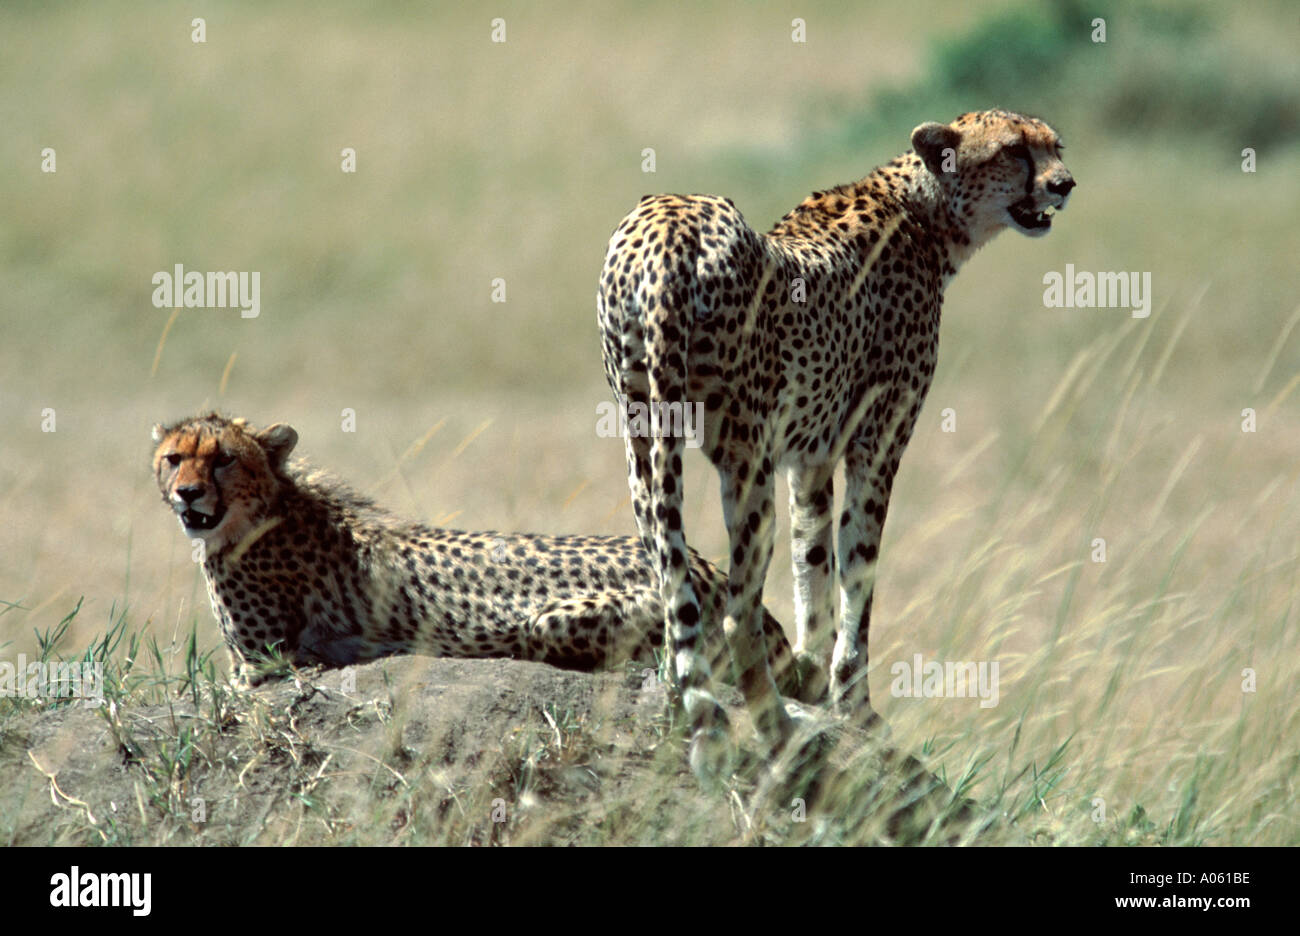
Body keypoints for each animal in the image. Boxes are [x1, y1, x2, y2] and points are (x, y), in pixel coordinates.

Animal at [156, 413, 795, 691]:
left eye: (223, 458)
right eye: (174, 458)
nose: (187, 493)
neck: (267, 508)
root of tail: (714, 571)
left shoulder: (264, 663)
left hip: (553, 623)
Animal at [598, 109, 1076, 769]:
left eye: (1055, 145)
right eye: (1012, 150)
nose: (1065, 184)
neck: (927, 214)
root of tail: (671, 222)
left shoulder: (811, 458)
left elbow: (813, 559)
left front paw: (810, 673)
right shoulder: (876, 446)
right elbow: (859, 570)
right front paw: (855, 705)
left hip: (642, 437)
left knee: (673, 581)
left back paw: (681, 703)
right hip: (745, 457)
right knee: (737, 616)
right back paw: (775, 727)